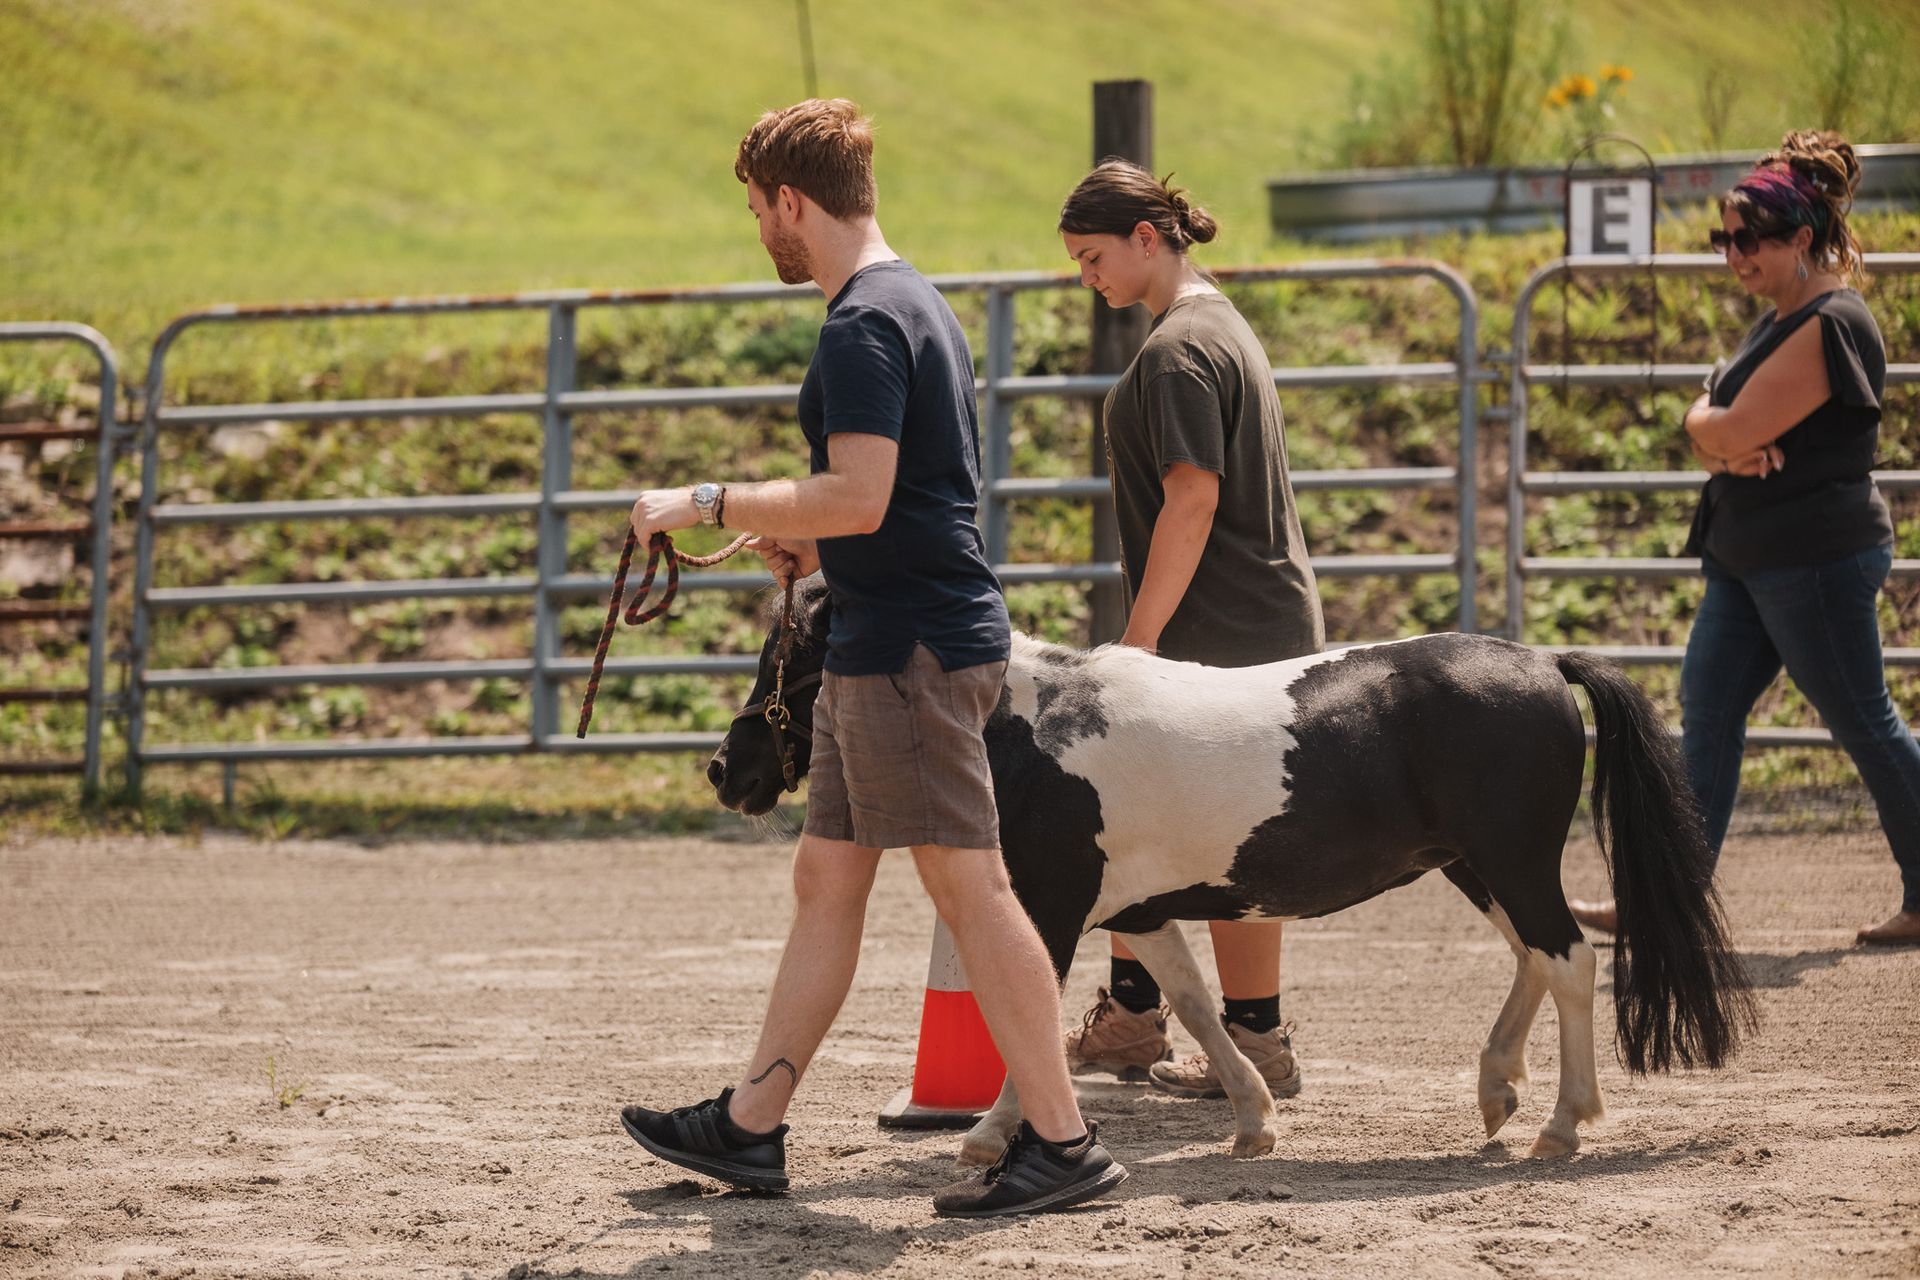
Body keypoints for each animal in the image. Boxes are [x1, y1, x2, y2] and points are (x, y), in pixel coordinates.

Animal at [710, 587, 1758, 1166]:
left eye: (792, 655)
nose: (726, 770)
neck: (1033, 727)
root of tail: (1542, 662)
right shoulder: (1136, 912)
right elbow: (1193, 1003)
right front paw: (1253, 1119)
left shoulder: (1052, 905)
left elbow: (1025, 1012)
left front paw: (989, 1136)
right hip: (1475, 867)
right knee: (1537, 961)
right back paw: (1498, 1092)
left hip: (1510, 861)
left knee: (1570, 963)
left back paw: (1561, 1127)